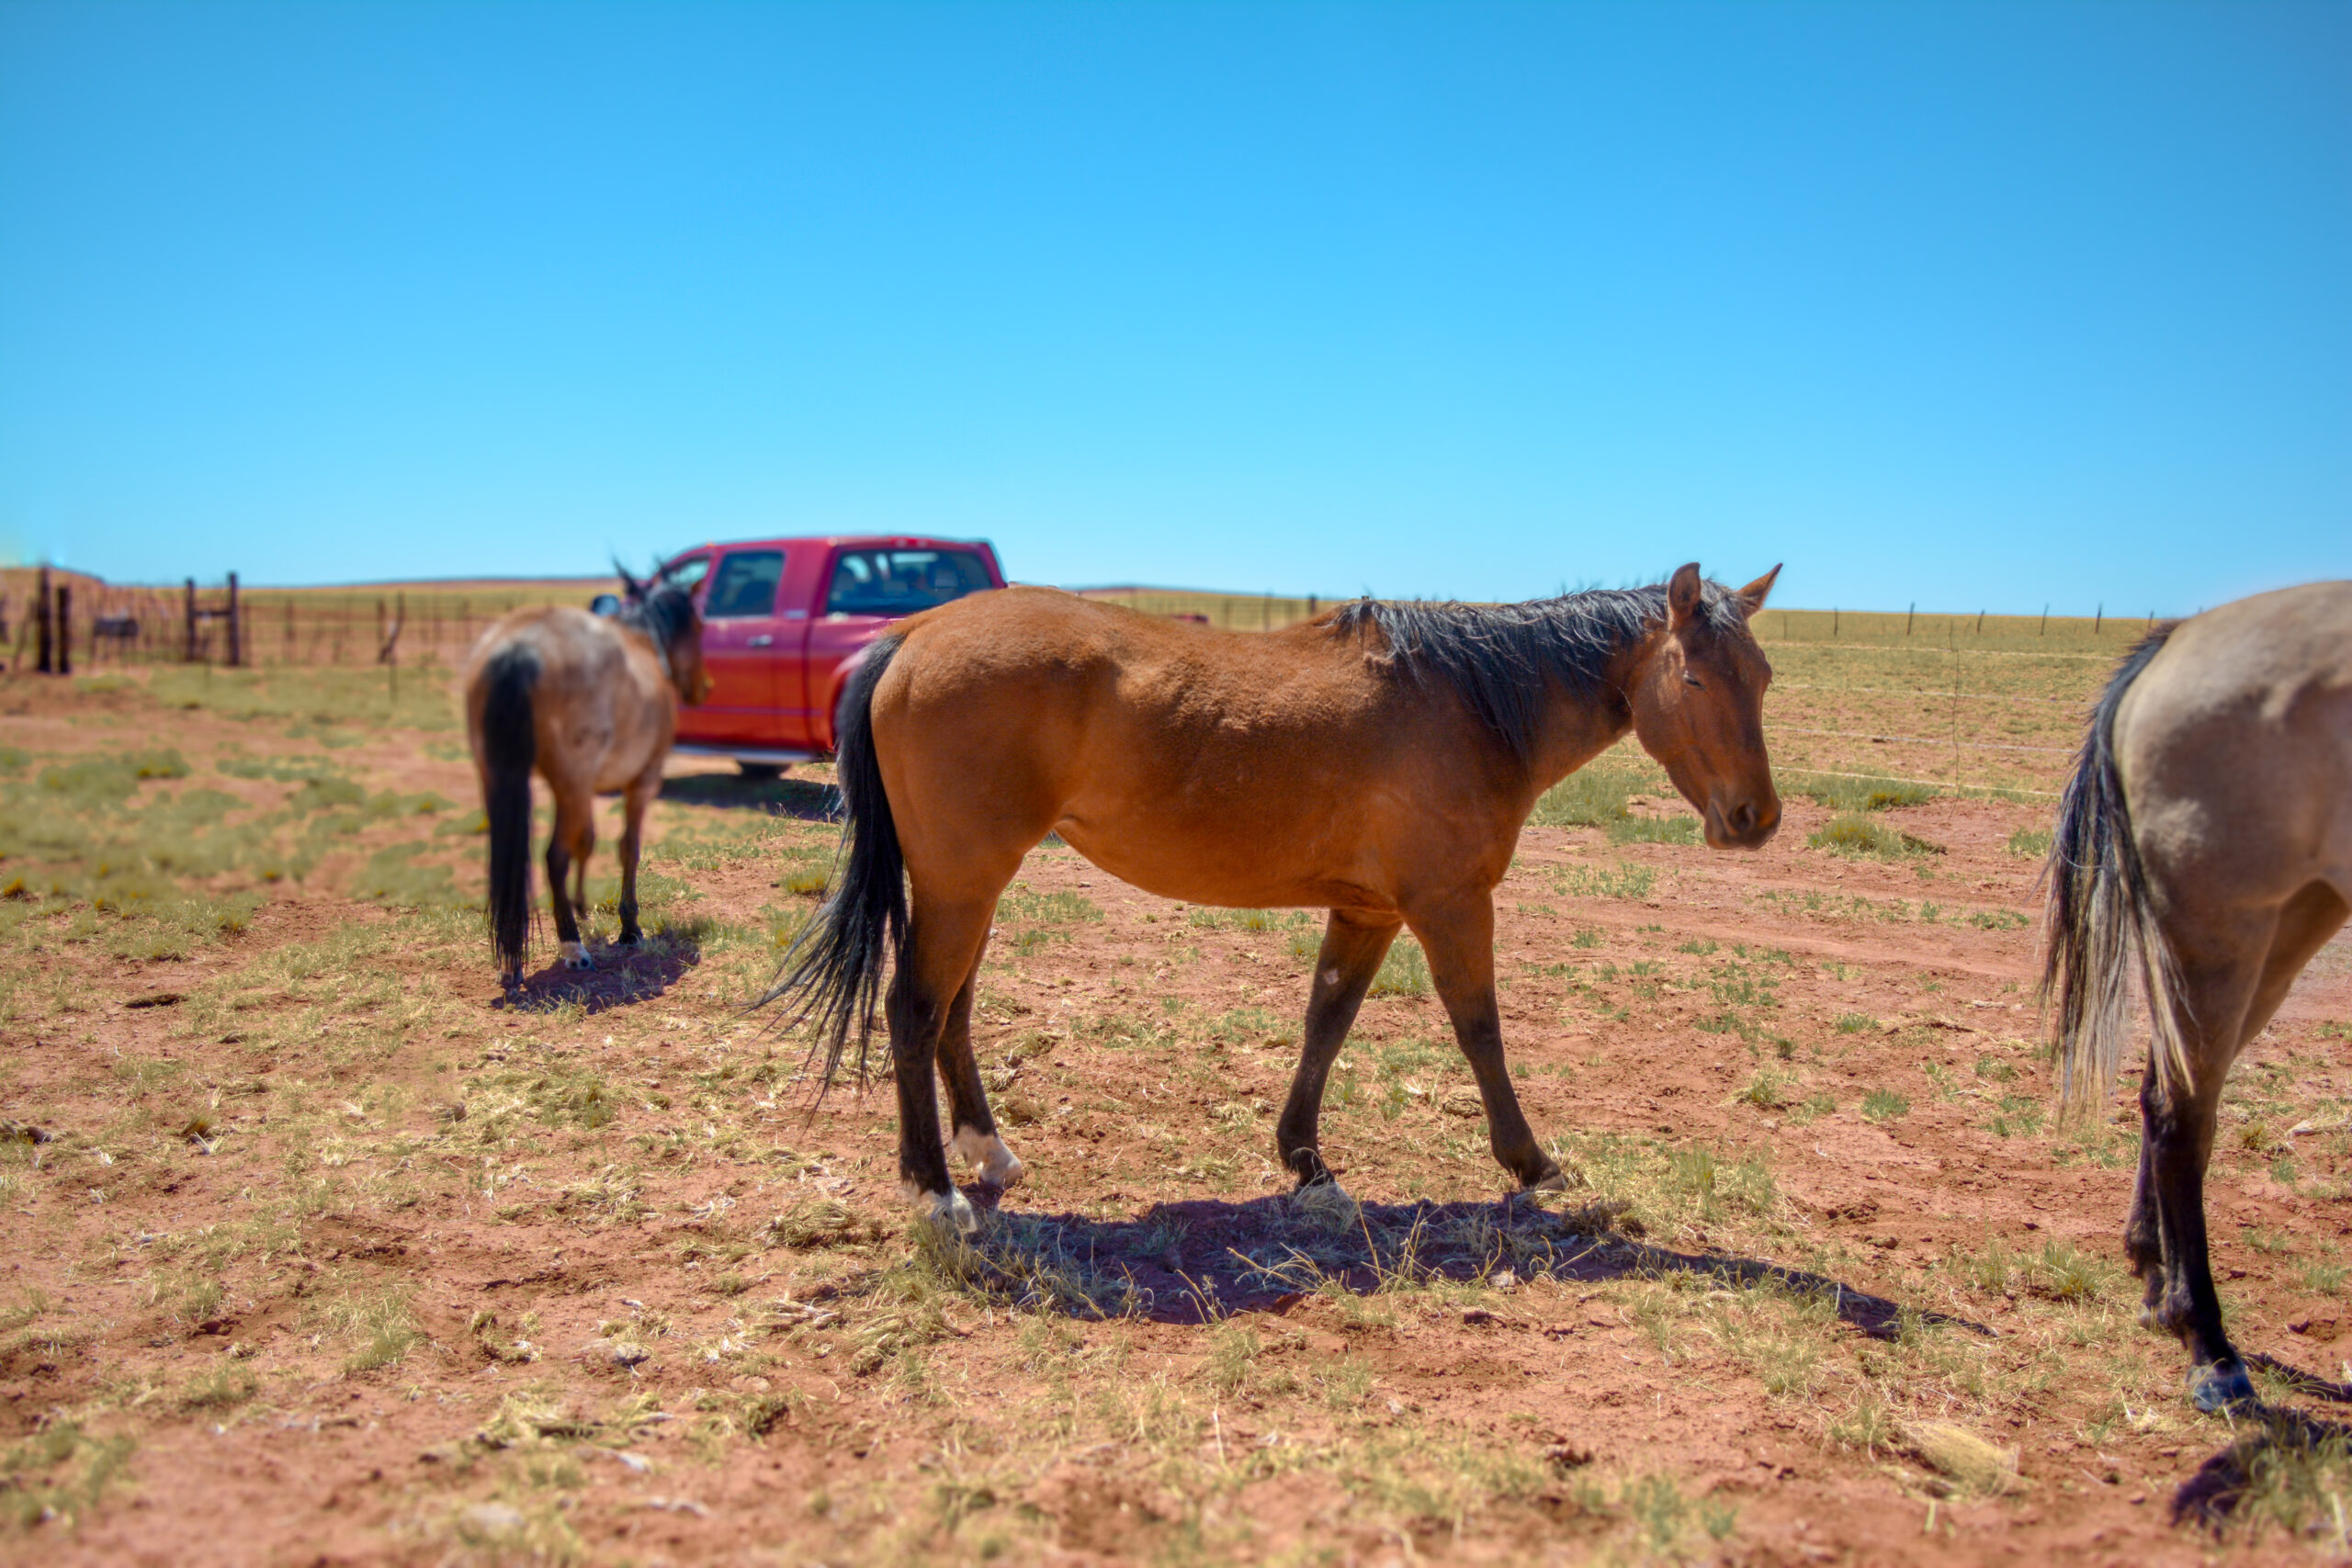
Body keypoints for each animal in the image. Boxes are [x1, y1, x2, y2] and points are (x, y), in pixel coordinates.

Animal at [464, 570, 708, 993]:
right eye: (698, 626)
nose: (702, 688)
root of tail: (521, 648)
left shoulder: (587, 788)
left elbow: (588, 841)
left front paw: (583, 906)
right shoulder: (641, 783)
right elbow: (628, 848)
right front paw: (629, 927)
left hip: (504, 777)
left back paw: (512, 961)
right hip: (573, 784)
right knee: (553, 858)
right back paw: (573, 947)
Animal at [764, 561, 1783, 1232]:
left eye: (1764, 676)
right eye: (1694, 675)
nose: (1755, 816)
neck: (1469, 701)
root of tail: (915, 634)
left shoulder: (1369, 909)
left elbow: (1324, 1022)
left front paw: (1307, 1164)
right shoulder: (1449, 903)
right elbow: (1480, 1030)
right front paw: (1530, 1161)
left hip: (970, 884)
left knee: (954, 1013)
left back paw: (988, 1154)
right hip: (961, 881)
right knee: (914, 1009)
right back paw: (934, 1191)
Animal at [2044, 581, 2352, 1412]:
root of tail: (2176, 640)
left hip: (2294, 914)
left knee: (2172, 1092)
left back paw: (2157, 1277)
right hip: (2224, 921)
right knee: (2182, 1109)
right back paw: (2206, 1341)